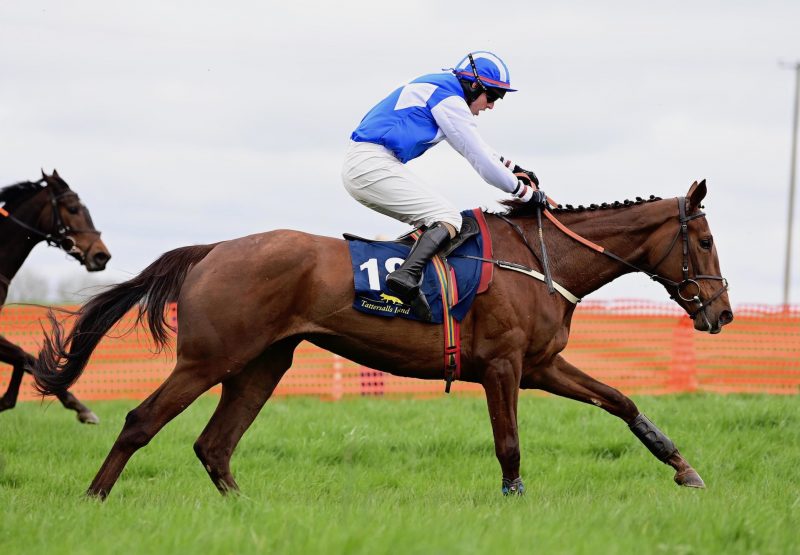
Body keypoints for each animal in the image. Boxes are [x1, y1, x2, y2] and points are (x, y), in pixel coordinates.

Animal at [31, 181, 732, 500]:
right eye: (702, 240)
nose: (722, 313)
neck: (541, 259)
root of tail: (213, 250)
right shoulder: (503, 366)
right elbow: (508, 443)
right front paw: (514, 500)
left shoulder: (540, 365)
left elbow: (622, 401)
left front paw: (684, 468)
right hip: (210, 358)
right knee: (142, 421)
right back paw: (94, 499)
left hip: (261, 364)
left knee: (214, 444)